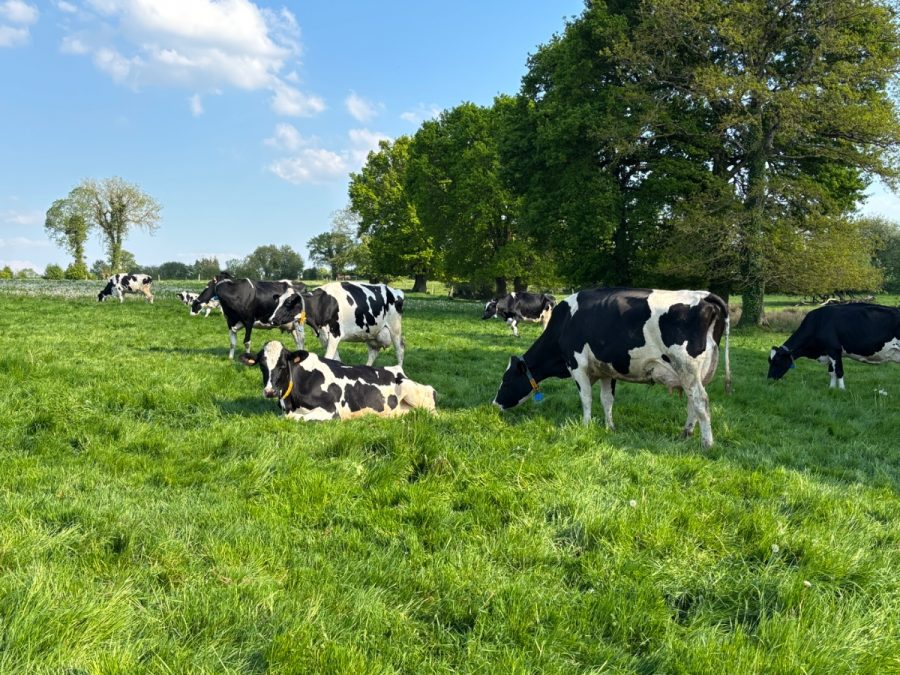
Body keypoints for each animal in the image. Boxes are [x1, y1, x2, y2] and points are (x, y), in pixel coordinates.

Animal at [240, 340, 435, 421]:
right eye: (262, 364)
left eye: (282, 365)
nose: (269, 391)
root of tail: (398, 370)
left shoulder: (330, 409)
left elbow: (295, 418)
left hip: (414, 393)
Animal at [267, 281, 406, 367]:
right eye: (278, 301)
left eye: (288, 302)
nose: (272, 319)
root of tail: (395, 290)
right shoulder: (323, 336)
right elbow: (336, 359)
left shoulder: (335, 333)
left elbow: (328, 358)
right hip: (371, 333)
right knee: (373, 352)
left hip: (394, 328)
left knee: (400, 349)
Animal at [492, 287, 732, 448]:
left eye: (506, 381)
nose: (494, 404)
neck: (564, 323)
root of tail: (704, 295)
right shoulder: (607, 369)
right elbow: (607, 400)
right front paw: (610, 427)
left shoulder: (577, 363)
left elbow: (586, 398)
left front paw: (585, 425)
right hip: (696, 373)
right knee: (694, 402)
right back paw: (686, 434)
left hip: (686, 366)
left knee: (701, 401)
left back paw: (706, 443)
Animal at [768, 303, 900, 389]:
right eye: (769, 361)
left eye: (777, 361)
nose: (769, 379)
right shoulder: (828, 352)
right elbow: (832, 372)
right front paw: (831, 388)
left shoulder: (834, 350)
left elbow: (839, 372)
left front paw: (841, 390)